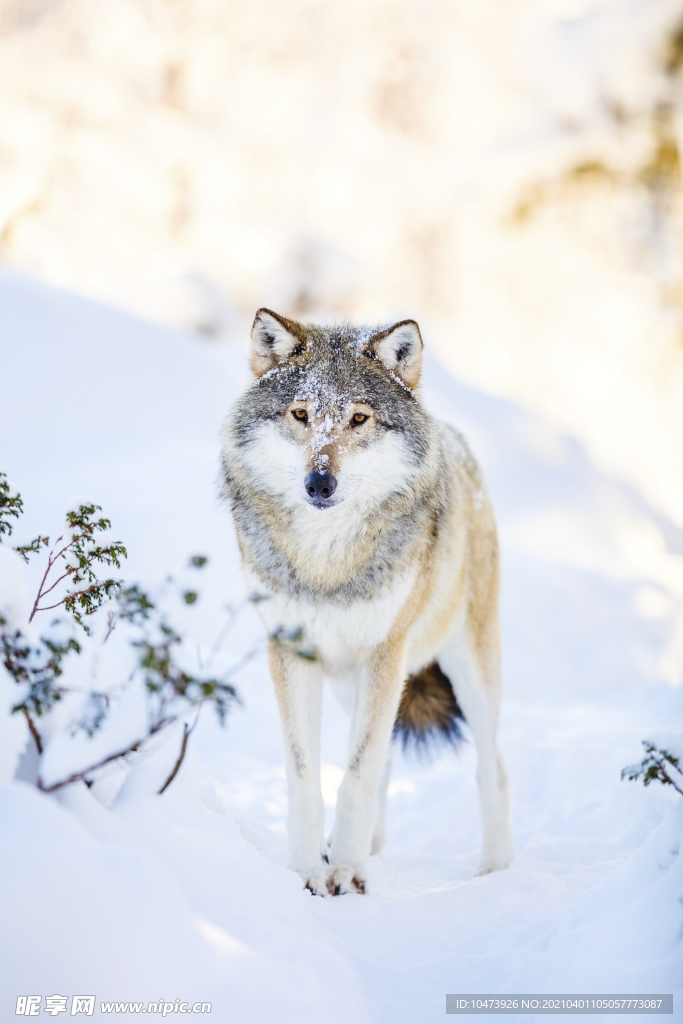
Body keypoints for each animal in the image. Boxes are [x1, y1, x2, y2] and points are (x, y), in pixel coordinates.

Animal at [222, 307, 516, 892]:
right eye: (301, 414)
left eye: (358, 419)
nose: (319, 483)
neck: (327, 563)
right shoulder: (293, 652)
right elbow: (308, 776)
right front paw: (308, 870)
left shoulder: (387, 650)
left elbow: (355, 774)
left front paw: (348, 872)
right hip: (349, 683)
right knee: (385, 763)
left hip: (465, 668)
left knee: (491, 767)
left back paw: (495, 871)